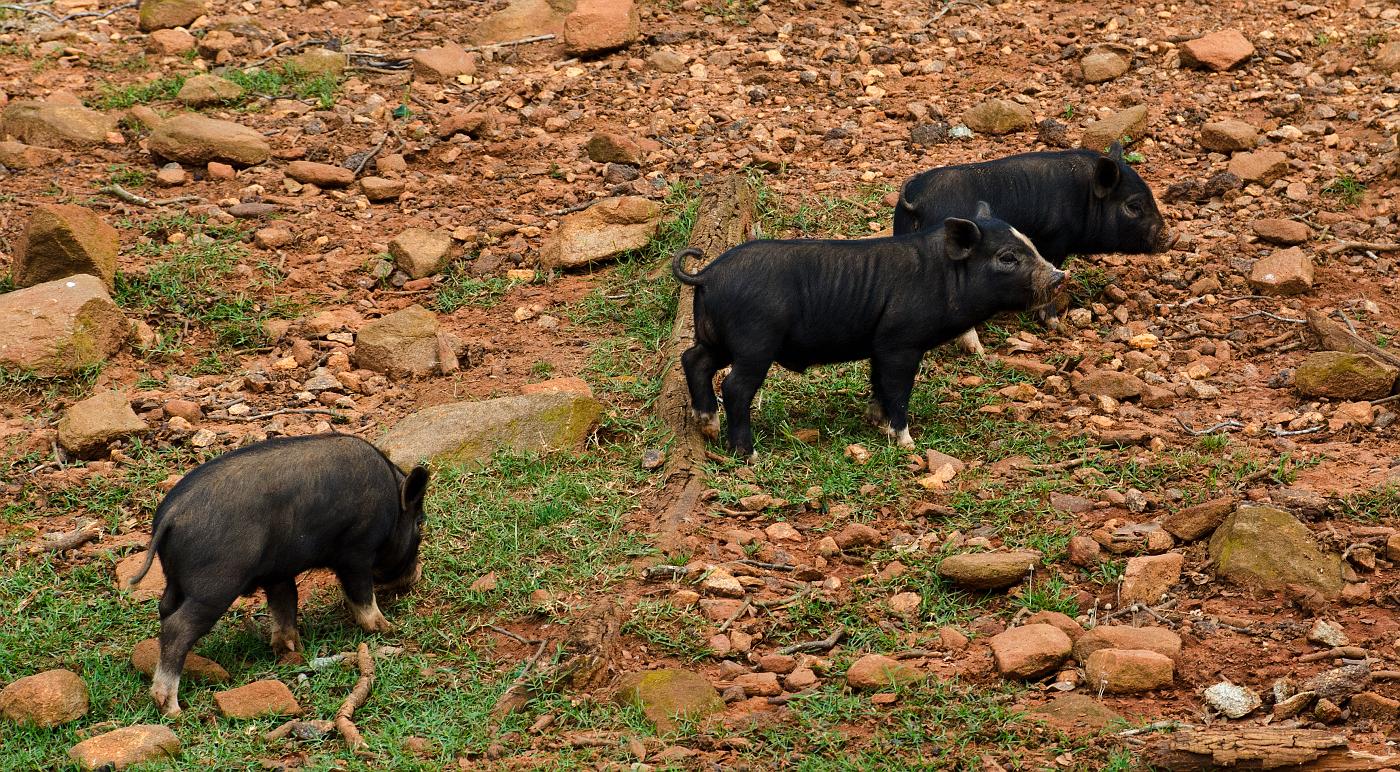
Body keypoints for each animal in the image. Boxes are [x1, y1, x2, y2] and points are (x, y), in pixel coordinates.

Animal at [125, 433, 430, 716]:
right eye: (419, 523)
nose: (417, 575)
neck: (393, 502)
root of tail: (170, 517)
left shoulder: (278, 572)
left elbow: (285, 604)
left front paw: (291, 649)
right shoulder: (356, 551)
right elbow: (361, 595)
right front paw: (387, 628)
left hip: (174, 582)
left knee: (165, 610)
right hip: (215, 586)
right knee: (177, 627)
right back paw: (172, 708)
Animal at [672, 202, 1065, 459]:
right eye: (1007, 257)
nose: (1060, 276)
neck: (943, 276)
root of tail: (707, 274)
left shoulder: (879, 345)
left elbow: (877, 383)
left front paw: (875, 422)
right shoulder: (900, 343)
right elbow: (897, 388)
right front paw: (906, 442)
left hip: (715, 336)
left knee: (693, 359)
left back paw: (707, 426)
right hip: (755, 341)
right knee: (734, 386)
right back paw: (749, 455)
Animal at [893, 142, 1169, 355]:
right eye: (1133, 206)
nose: (1172, 237)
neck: (1083, 198)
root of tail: (917, 199)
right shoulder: (1054, 243)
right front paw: (1058, 327)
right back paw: (980, 352)